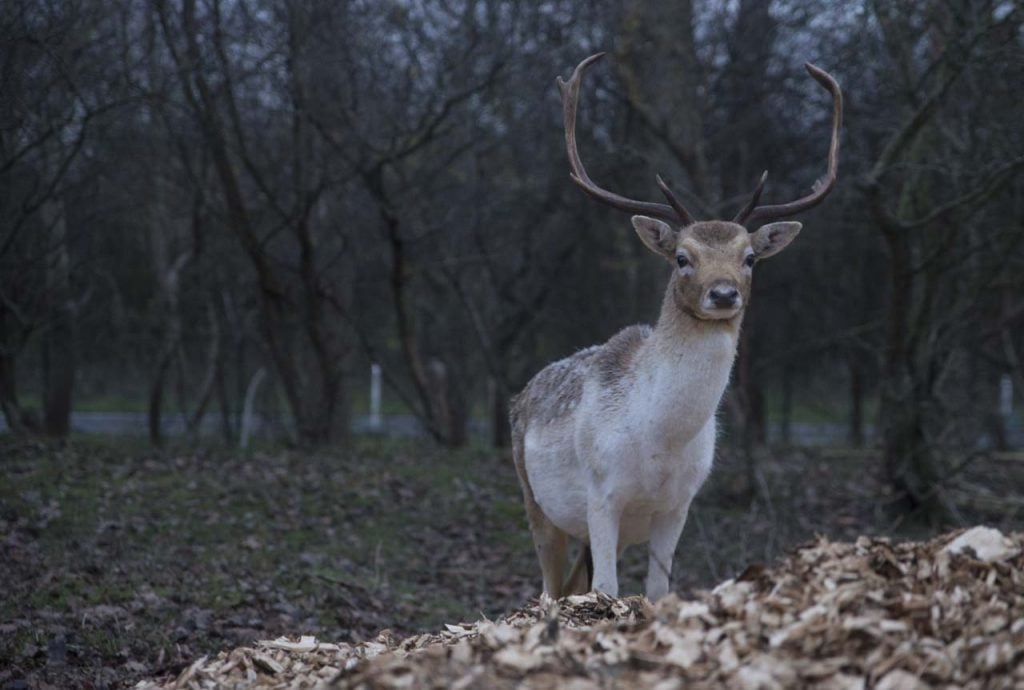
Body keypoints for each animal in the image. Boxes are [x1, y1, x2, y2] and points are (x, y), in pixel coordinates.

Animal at [509, 53, 839, 597]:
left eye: (750, 258)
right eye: (683, 258)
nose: (723, 293)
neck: (658, 442)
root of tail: (520, 395)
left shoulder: (679, 505)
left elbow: (657, 593)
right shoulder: (601, 493)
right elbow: (608, 591)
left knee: (574, 583)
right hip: (534, 497)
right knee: (551, 588)